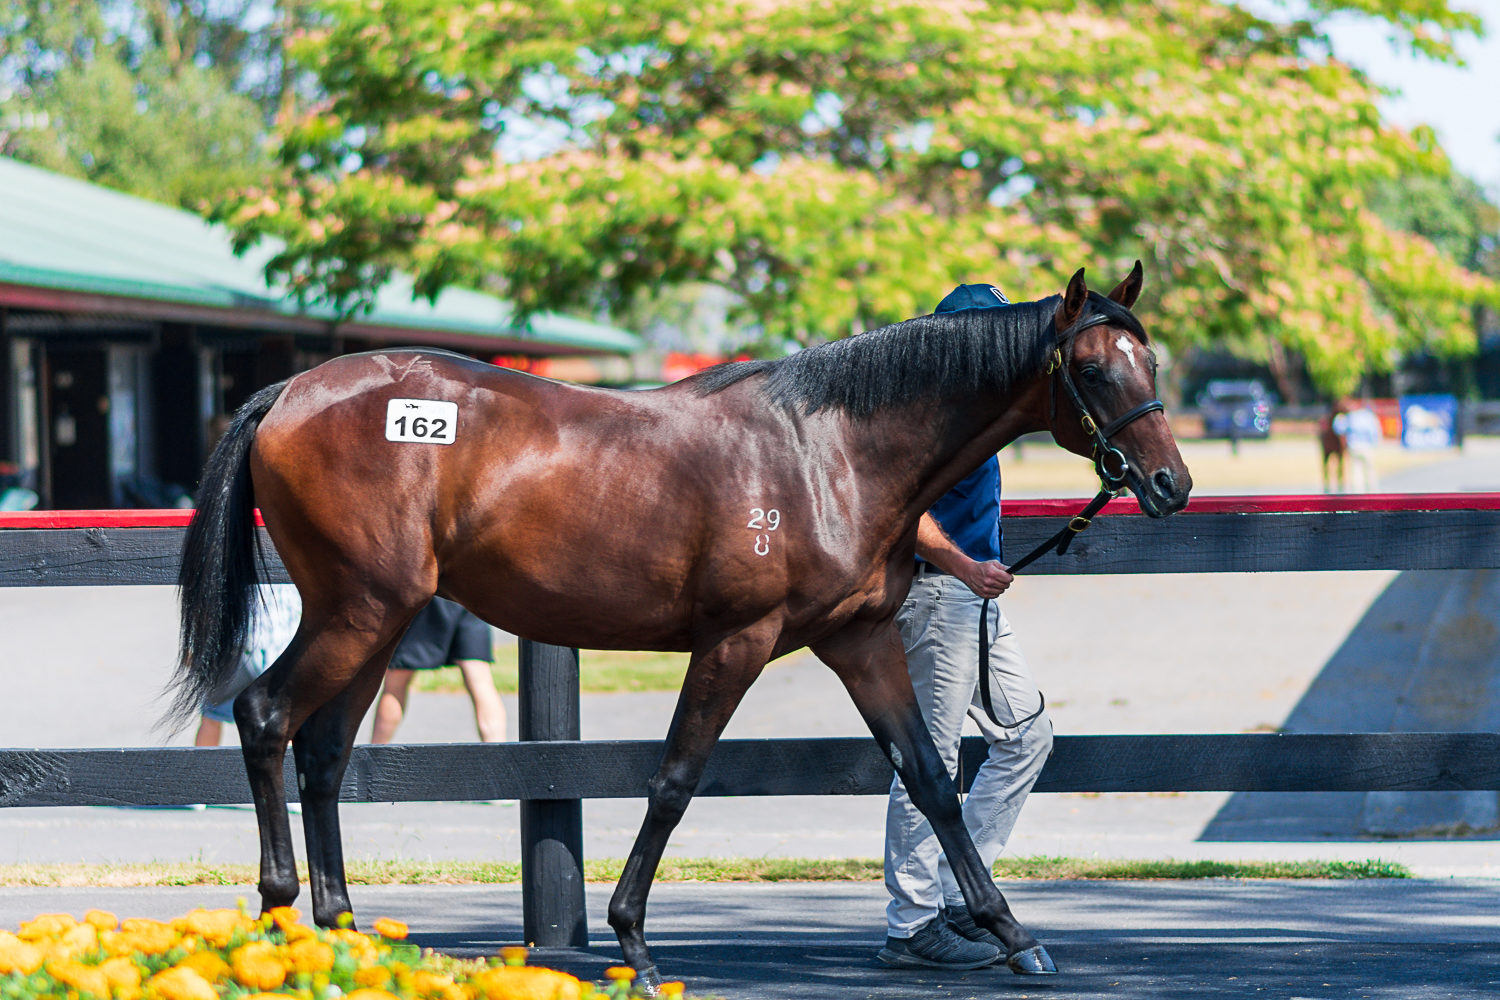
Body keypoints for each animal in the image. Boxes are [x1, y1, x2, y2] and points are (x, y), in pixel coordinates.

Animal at [167, 260, 1194, 983]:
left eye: (1150, 361)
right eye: (1092, 367)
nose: (1170, 485)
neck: (829, 451)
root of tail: (290, 393)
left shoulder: (859, 642)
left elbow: (933, 782)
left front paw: (1013, 933)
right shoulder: (736, 642)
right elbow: (674, 781)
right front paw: (634, 943)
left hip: (379, 621)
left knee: (324, 754)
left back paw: (346, 938)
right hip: (360, 609)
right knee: (264, 717)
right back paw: (278, 920)